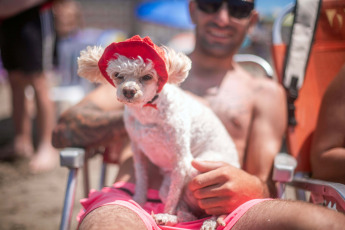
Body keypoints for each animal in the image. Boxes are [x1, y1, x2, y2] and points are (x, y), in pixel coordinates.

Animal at [78, 35, 239, 229]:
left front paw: (167, 213)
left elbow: (172, 199)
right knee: (188, 214)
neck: (148, 113)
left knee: (215, 208)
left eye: (147, 76)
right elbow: (141, 180)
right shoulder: (138, 151)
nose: (129, 91)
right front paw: (138, 201)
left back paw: (206, 221)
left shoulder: (181, 160)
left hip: (199, 169)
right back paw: (176, 218)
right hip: (167, 185)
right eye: (118, 75)